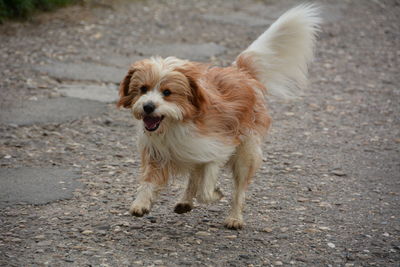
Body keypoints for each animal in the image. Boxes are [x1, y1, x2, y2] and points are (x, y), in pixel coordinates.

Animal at [117, 4, 320, 230]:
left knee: (238, 189)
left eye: (167, 92)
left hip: (246, 153)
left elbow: (206, 189)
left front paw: (215, 194)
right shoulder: (158, 154)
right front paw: (141, 203)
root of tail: (240, 71)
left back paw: (234, 217)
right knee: (194, 176)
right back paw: (185, 201)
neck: (176, 124)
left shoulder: (217, 148)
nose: (148, 107)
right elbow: (149, 181)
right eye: (143, 89)